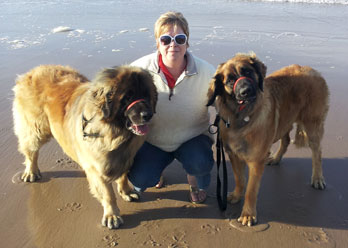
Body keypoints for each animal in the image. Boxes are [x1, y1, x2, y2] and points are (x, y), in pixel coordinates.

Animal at [12, 65, 156, 230]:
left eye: (146, 96)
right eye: (127, 98)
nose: (148, 115)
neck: (115, 133)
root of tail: (33, 71)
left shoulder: (126, 156)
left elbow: (123, 176)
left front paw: (126, 191)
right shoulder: (98, 168)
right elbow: (108, 194)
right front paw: (112, 215)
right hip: (35, 129)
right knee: (31, 152)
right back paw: (31, 171)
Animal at [207, 52, 328, 227]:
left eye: (248, 72)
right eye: (230, 80)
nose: (246, 91)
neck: (242, 117)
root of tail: (314, 71)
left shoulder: (256, 161)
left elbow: (251, 190)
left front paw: (248, 214)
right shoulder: (234, 155)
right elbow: (239, 179)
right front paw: (237, 195)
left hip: (312, 125)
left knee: (317, 152)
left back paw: (317, 178)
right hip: (283, 121)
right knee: (285, 141)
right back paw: (276, 159)